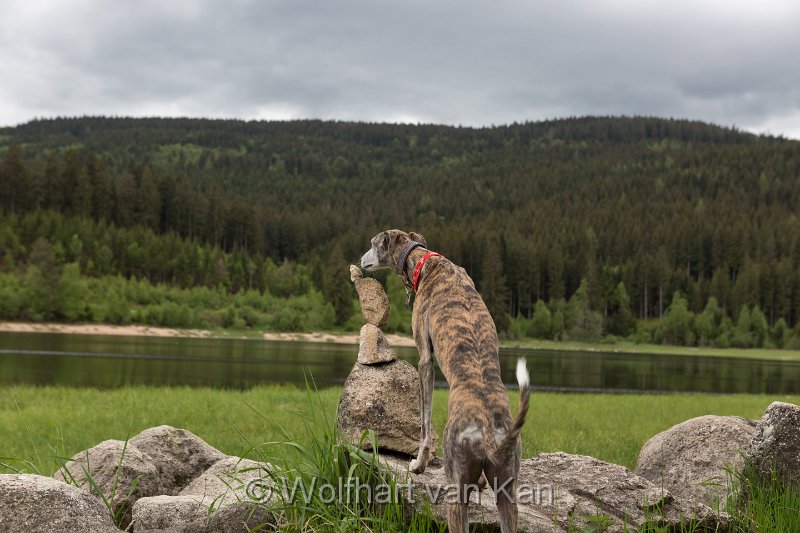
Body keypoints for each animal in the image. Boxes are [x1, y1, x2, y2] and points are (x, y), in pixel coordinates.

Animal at [362, 229, 532, 532]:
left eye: (372, 244)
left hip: (457, 487)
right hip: (507, 489)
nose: (360, 260)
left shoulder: (425, 358)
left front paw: (418, 463)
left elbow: (424, 420)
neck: (425, 261)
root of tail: (487, 430)